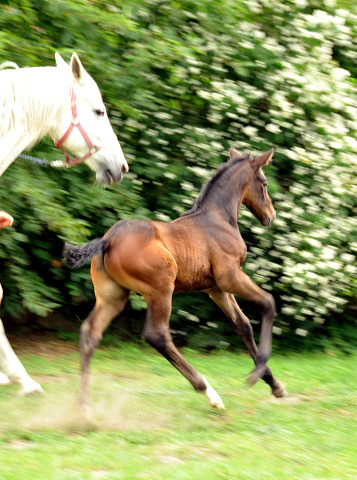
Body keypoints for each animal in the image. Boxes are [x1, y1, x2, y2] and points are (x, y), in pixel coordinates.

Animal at [65, 148, 286, 410]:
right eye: (264, 183)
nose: (271, 216)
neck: (218, 218)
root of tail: (108, 240)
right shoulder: (230, 277)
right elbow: (268, 303)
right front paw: (256, 374)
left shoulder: (215, 288)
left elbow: (242, 324)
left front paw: (274, 385)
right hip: (161, 289)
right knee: (157, 335)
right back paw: (209, 392)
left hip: (113, 297)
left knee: (90, 332)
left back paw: (82, 407)